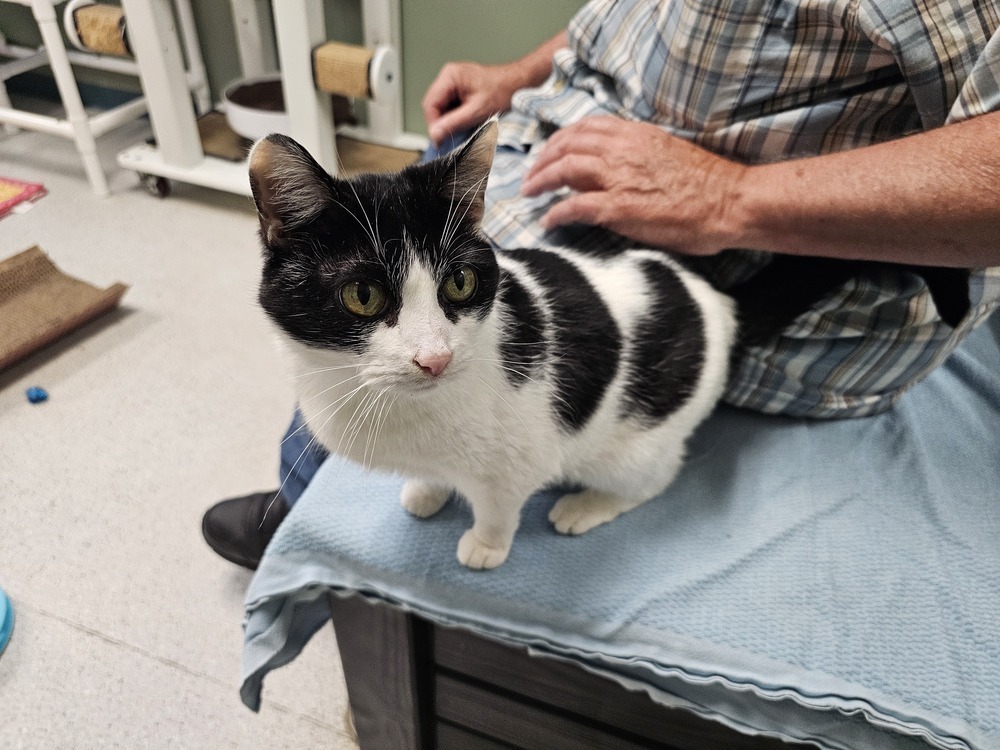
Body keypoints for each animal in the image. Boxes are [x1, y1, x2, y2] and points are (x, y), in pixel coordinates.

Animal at [250, 122, 736, 568]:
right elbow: (436, 476)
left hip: (634, 446)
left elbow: (498, 505)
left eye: (460, 282)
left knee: (653, 477)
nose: (436, 358)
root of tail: (712, 299)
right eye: (363, 295)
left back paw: (586, 505)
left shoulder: (523, 457)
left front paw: (486, 545)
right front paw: (428, 489)